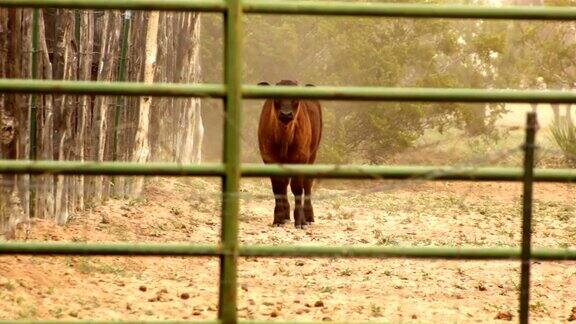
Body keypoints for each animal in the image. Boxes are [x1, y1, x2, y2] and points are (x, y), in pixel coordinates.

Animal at [258, 79, 322, 229]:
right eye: (276, 97)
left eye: (296, 98)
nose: (286, 114)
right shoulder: (269, 159)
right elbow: (278, 188)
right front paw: (278, 218)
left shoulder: (301, 158)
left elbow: (297, 188)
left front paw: (300, 220)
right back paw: (286, 215)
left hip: (312, 155)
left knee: (307, 184)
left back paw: (308, 216)